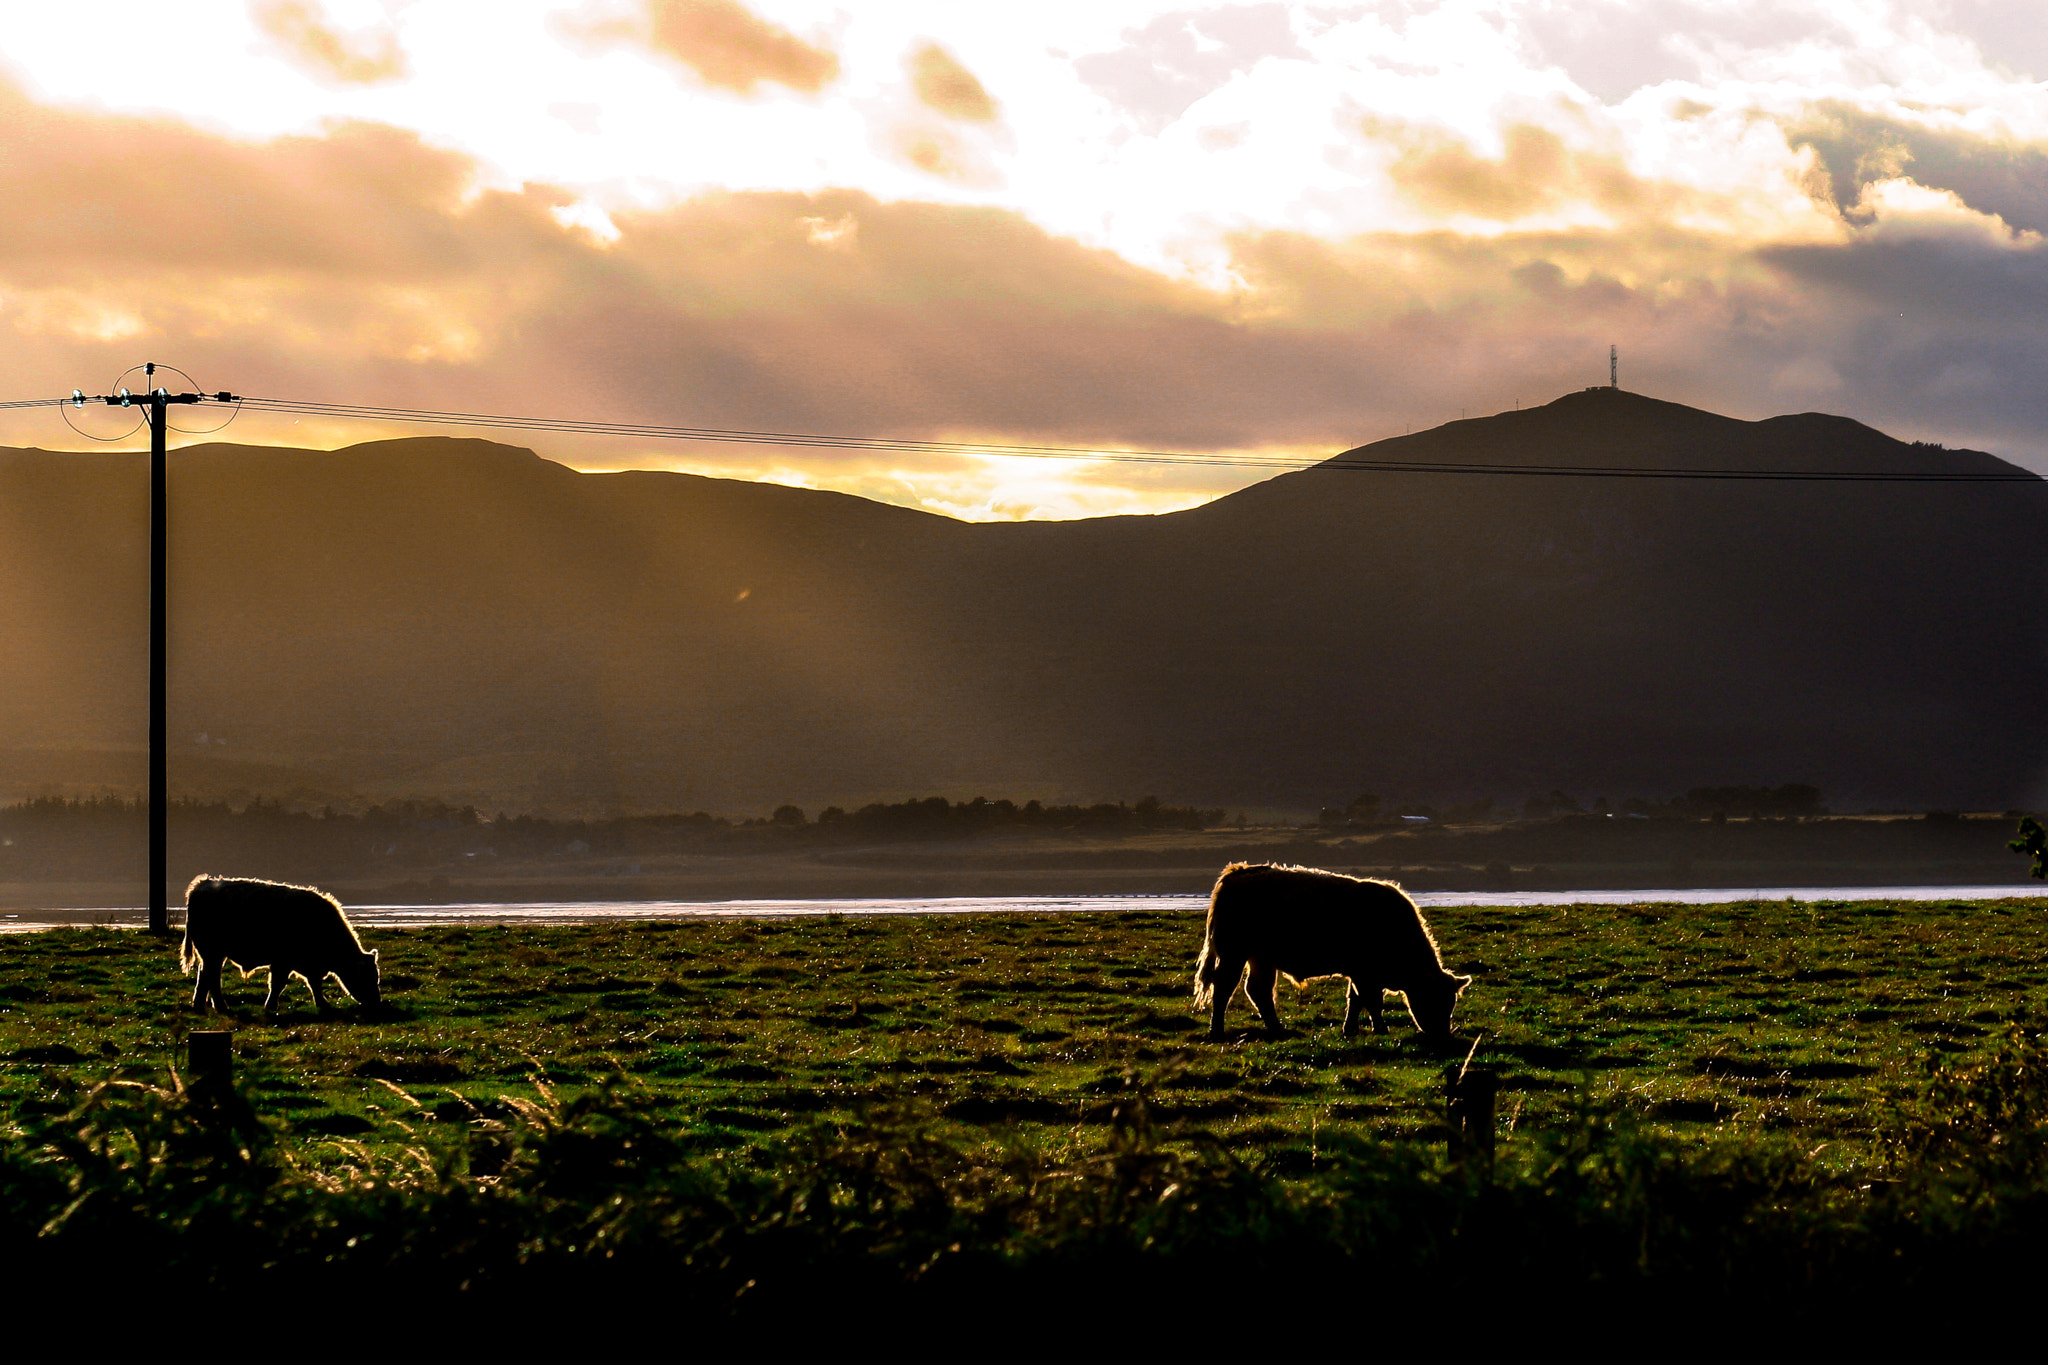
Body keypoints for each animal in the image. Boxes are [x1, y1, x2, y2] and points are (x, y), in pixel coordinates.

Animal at [182, 875, 382, 1015]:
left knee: (205, 975)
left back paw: (200, 1006)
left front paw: (323, 1004)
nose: (377, 1003)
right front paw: (270, 1006)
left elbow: (314, 984)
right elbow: (278, 984)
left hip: (213, 955)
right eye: (366, 976)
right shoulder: (283, 962)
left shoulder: (309, 966)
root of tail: (203, 884)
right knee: (211, 977)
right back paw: (221, 1007)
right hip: (212, 952)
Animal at [1196, 863, 1466, 1047]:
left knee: (1258, 990)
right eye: (1432, 999)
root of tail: (1239, 872)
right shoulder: (1364, 974)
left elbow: (1355, 1000)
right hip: (1234, 953)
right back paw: (1217, 1032)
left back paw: (1277, 1029)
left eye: (1451, 1002)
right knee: (1224, 988)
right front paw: (1381, 1029)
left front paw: (1350, 1030)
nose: (1444, 1035)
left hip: (1261, 958)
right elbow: (1371, 1001)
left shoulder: (1361, 974)